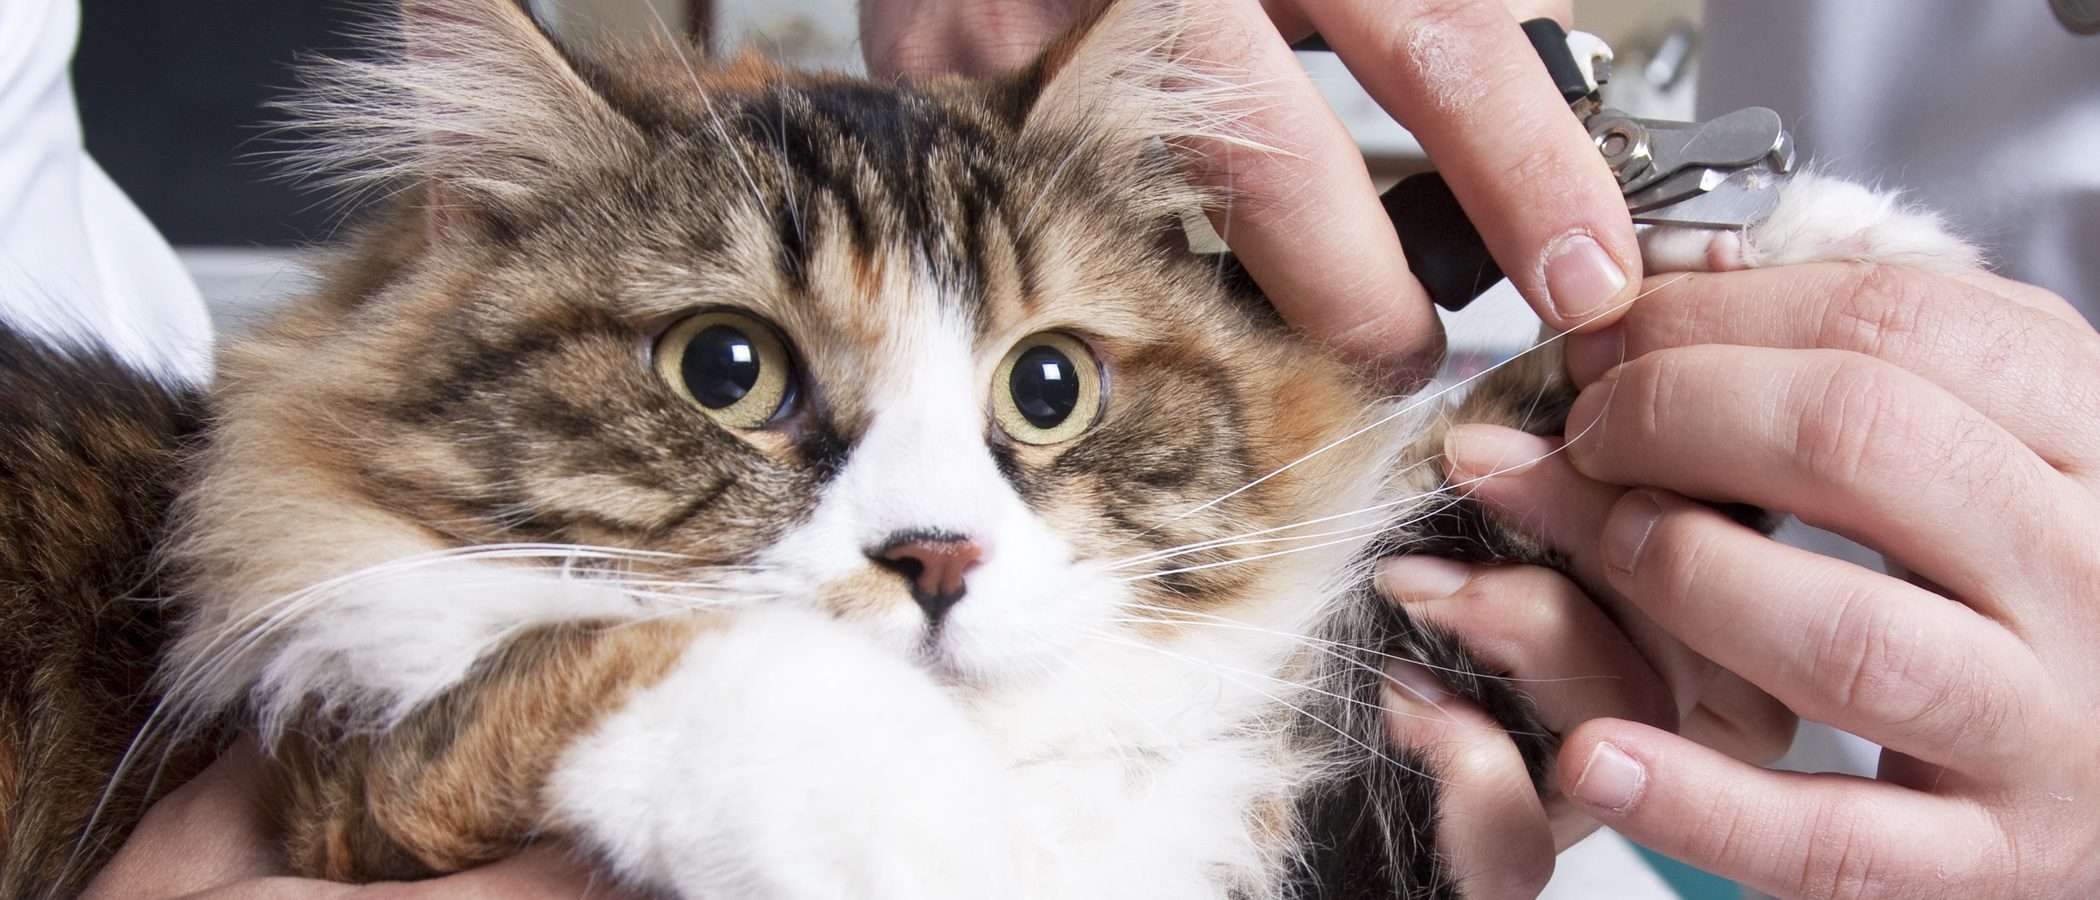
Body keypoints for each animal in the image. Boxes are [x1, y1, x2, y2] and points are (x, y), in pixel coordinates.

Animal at [0, 0, 1973, 893]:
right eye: (727, 368)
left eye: (1048, 388)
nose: (935, 558)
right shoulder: (348, 786)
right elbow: (641, 671)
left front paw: (1813, 281)